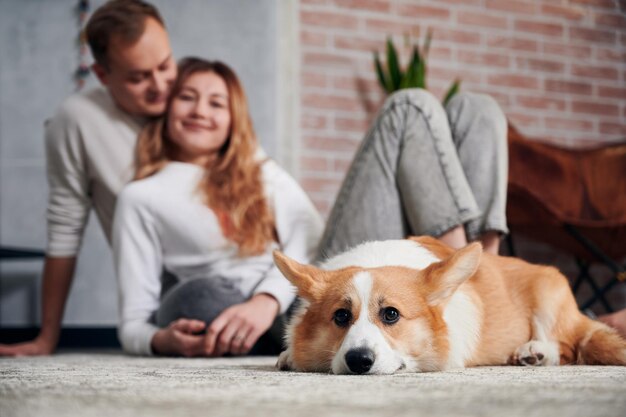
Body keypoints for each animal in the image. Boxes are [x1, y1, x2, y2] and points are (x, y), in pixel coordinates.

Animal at [272, 236, 624, 376]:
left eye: (391, 314)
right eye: (341, 316)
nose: (358, 360)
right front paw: (288, 355)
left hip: (549, 293)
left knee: (567, 345)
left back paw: (535, 351)